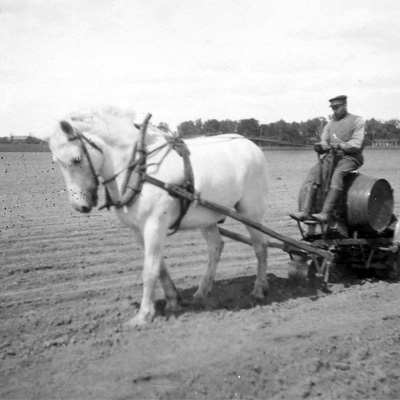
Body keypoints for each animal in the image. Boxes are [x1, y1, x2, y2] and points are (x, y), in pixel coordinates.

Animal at [45, 108, 270, 326]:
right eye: (56, 161)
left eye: (77, 159)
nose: (79, 206)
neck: (140, 167)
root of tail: (250, 144)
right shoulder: (139, 230)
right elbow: (160, 267)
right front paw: (173, 301)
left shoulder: (155, 225)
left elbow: (149, 271)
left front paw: (144, 315)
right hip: (207, 217)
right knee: (216, 247)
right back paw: (202, 291)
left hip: (251, 210)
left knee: (260, 246)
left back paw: (259, 289)